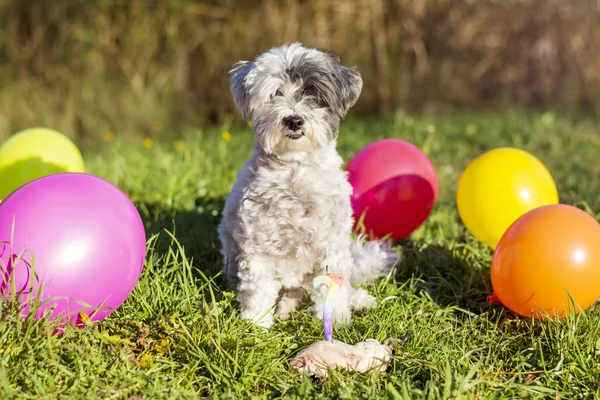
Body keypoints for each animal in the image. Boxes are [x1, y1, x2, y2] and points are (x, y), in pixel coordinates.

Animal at [217, 42, 398, 328]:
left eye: (313, 94)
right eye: (275, 93)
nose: (293, 120)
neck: (296, 170)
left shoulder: (332, 245)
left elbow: (334, 288)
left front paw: (336, 321)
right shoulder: (258, 248)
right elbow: (258, 290)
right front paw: (255, 325)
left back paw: (358, 300)